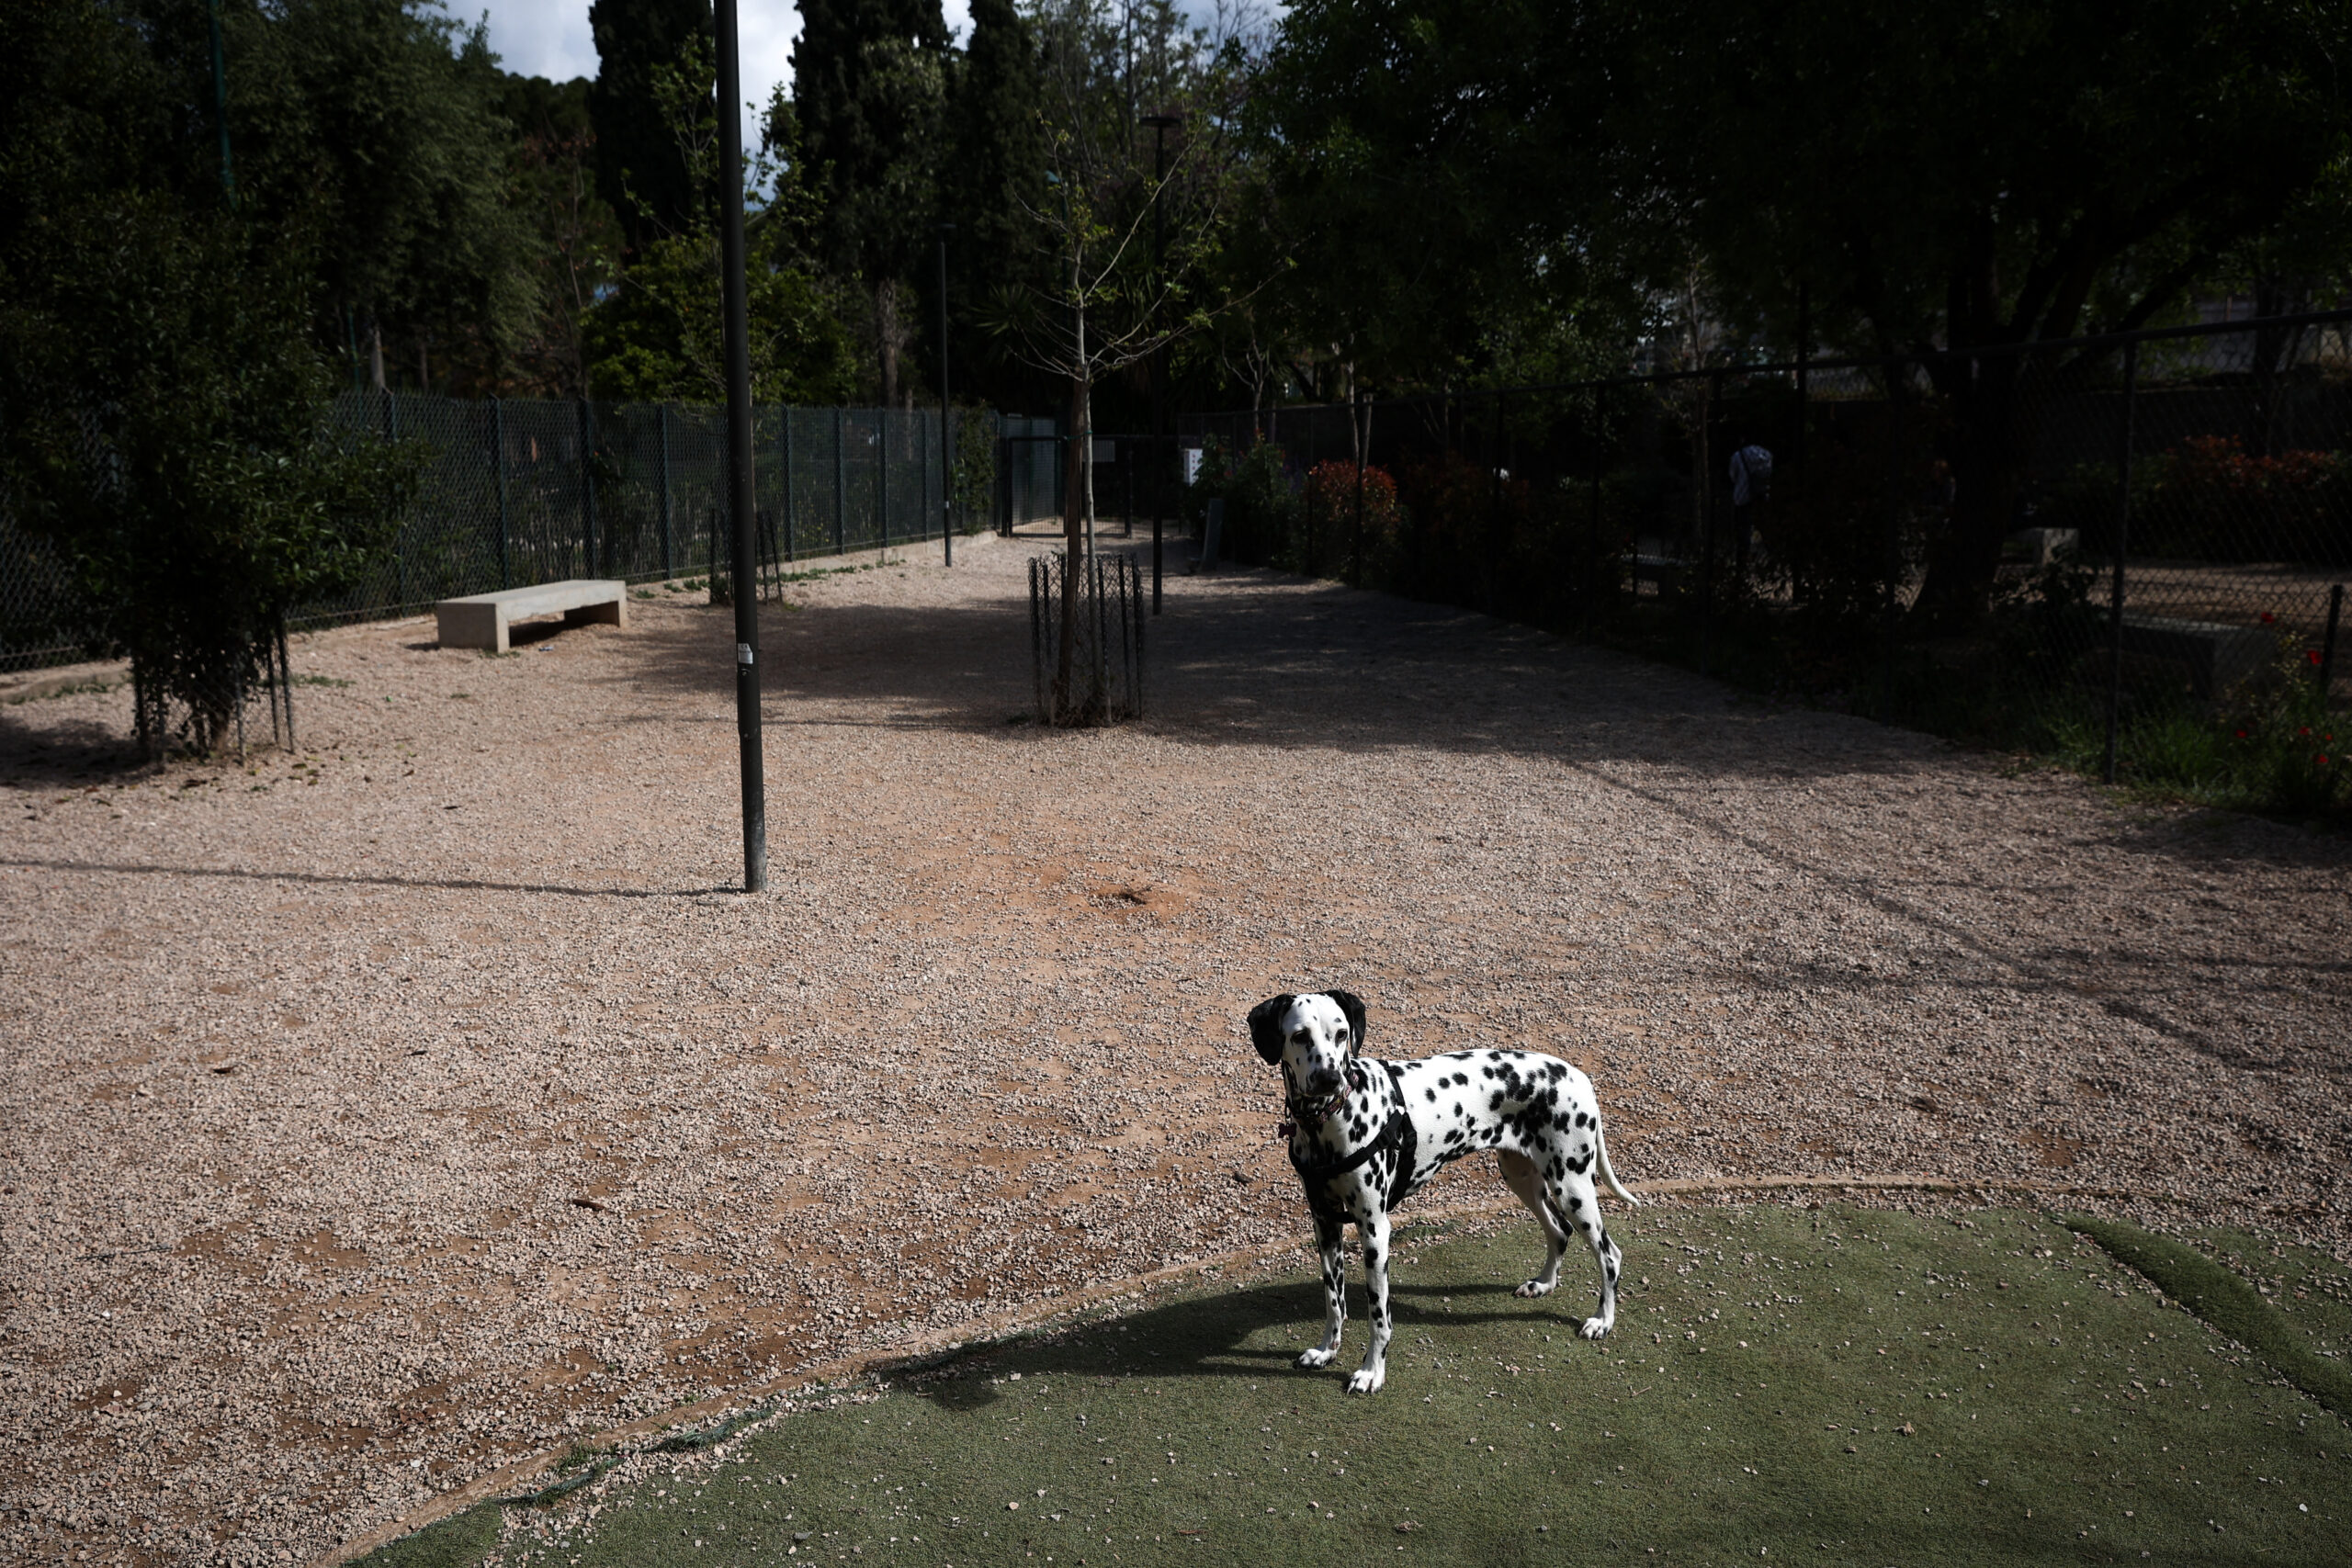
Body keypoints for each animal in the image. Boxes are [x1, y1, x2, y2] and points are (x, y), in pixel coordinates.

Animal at [1250, 991, 1636, 1401]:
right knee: (1559, 1231)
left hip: (1572, 1188)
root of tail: (1578, 1076)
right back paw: (1544, 1284)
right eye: (1300, 1036)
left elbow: (1378, 1315)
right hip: (1522, 1178)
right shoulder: (1325, 1224)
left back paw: (1602, 1320)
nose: (1329, 1078)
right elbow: (1333, 1301)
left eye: (1340, 1034)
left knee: (1609, 1254)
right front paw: (1327, 1350)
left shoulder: (1374, 1231)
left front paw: (1372, 1372)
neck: (1328, 1123)